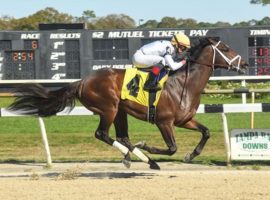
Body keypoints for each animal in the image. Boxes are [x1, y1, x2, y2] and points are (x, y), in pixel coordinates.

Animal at [7, 37, 249, 169]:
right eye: (225, 49)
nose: (245, 64)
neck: (184, 83)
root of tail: (82, 81)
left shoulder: (184, 120)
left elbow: (206, 132)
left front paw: (191, 155)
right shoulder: (164, 122)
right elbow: (172, 148)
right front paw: (148, 146)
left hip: (120, 112)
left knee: (122, 137)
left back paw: (142, 159)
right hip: (109, 108)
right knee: (102, 134)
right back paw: (141, 157)